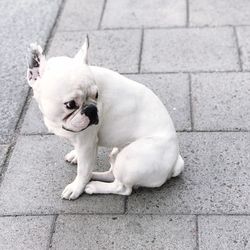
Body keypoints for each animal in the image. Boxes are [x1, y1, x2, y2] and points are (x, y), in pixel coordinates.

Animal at [26, 36, 184, 200]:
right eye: (70, 104)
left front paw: (76, 187)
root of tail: (174, 164)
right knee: (111, 173)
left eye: (96, 95)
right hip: (116, 153)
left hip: (128, 160)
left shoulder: (87, 143)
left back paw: (94, 186)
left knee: (122, 187)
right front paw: (75, 156)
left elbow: (83, 170)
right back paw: (94, 176)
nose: (92, 110)